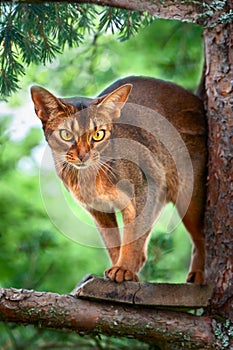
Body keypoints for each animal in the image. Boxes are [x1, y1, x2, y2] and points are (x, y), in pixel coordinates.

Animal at [31, 76, 208, 284]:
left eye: (98, 134)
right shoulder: (98, 209)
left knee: (201, 237)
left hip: (188, 196)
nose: (83, 155)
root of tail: (196, 100)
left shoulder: (147, 188)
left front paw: (124, 269)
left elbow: (133, 235)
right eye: (66, 134)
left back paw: (199, 274)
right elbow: (113, 243)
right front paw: (121, 269)